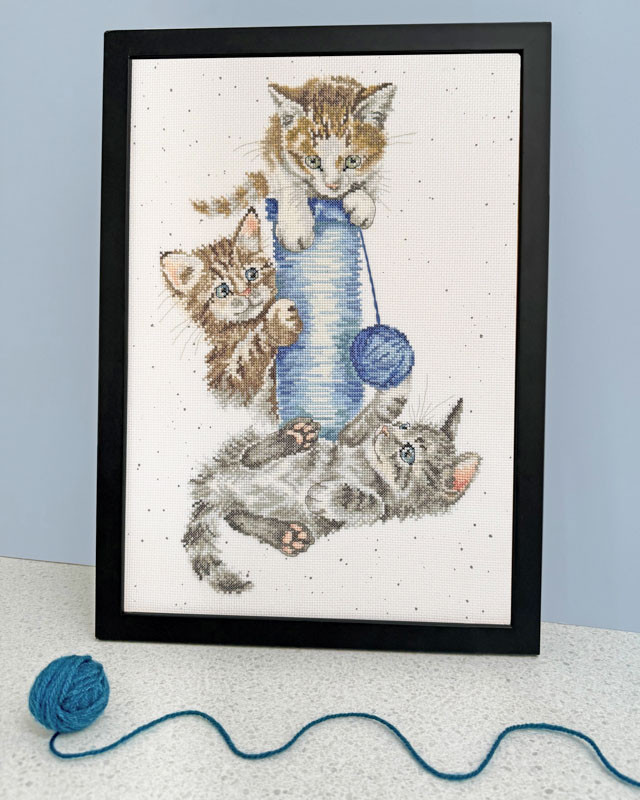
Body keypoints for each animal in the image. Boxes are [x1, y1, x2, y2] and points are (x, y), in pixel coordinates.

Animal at [160, 208, 302, 415]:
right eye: (222, 290)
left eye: (252, 274)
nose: (246, 291)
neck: (247, 326)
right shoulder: (226, 384)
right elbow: (250, 352)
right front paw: (278, 323)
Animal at [183, 378, 480, 593]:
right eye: (404, 425)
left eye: (408, 453)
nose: (387, 431)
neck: (369, 470)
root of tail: (216, 490)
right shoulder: (350, 440)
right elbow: (373, 416)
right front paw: (397, 383)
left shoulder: (381, 510)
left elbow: (376, 506)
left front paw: (327, 495)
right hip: (246, 456)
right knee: (248, 458)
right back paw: (293, 438)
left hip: (294, 518)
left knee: (235, 514)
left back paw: (285, 535)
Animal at [192, 76, 396, 252]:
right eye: (312, 161)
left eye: (353, 161)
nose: (332, 185)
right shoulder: (276, 151)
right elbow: (290, 183)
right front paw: (296, 228)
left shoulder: (375, 168)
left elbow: (370, 182)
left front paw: (362, 202)